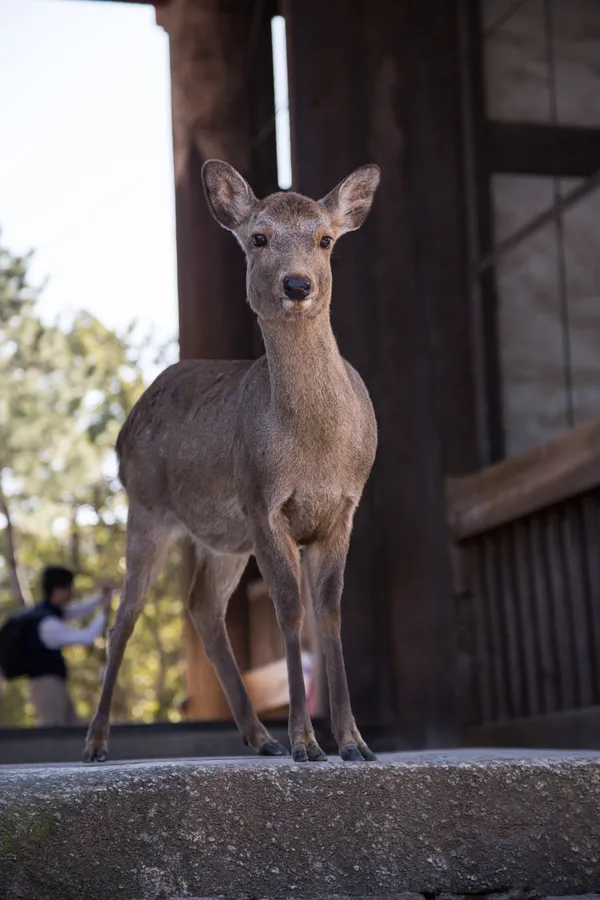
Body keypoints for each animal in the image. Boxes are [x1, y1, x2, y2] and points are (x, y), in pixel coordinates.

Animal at [83, 158, 380, 764]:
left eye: (326, 239)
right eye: (258, 238)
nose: (298, 284)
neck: (315, 453)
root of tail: (126, 424)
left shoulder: (344, 508)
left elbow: (329, 613)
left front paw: (354, 743)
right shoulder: (262, 500)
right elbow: (290, 611)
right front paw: (306, 743)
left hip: (224, 540)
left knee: (202, 606)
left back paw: (259, 736)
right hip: (146, 505)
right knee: (125, 613)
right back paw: (97, 741)